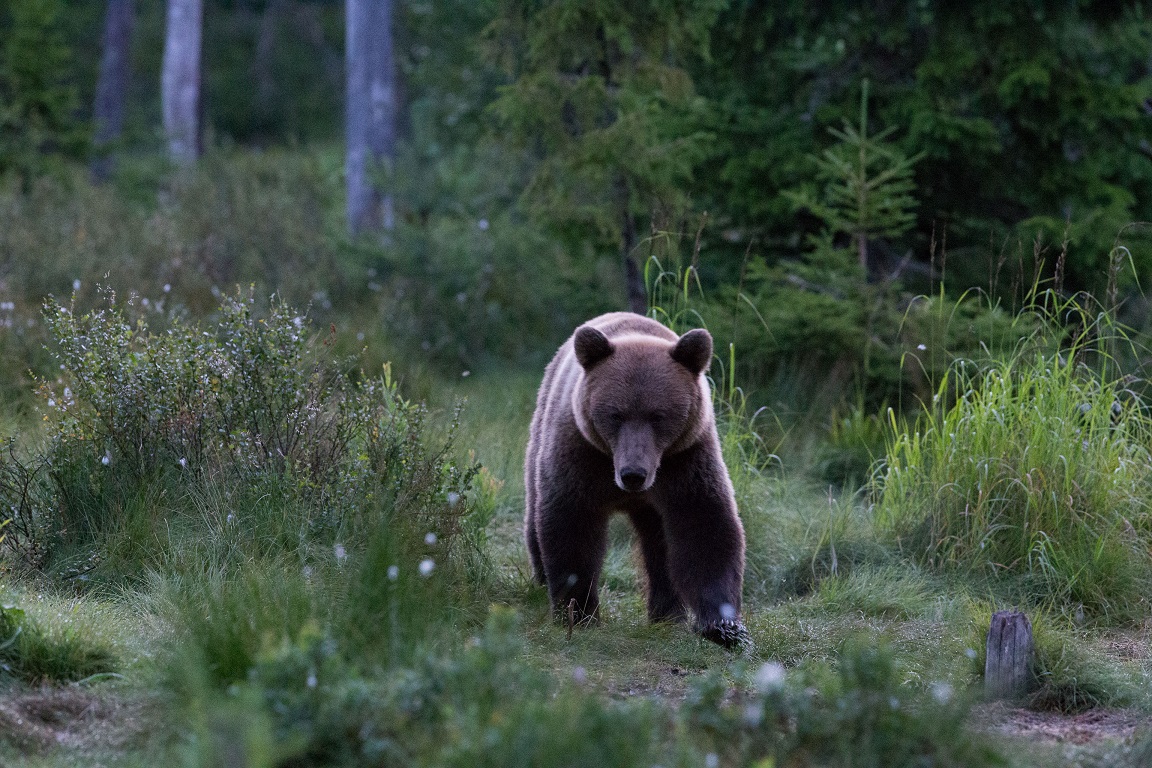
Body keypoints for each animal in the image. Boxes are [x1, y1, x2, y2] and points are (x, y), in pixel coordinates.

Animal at [523, 313, 746, 649]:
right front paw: (578, 612)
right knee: (535, 509)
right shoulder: (581, 454)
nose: (633, 474)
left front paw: (723, 626)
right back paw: (540, 580)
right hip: (541, 434)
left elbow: (704, 527)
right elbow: (571, 523)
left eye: (658, 416)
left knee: (660, 546)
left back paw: (668, 615)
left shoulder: (685, 459)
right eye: (615, 414)